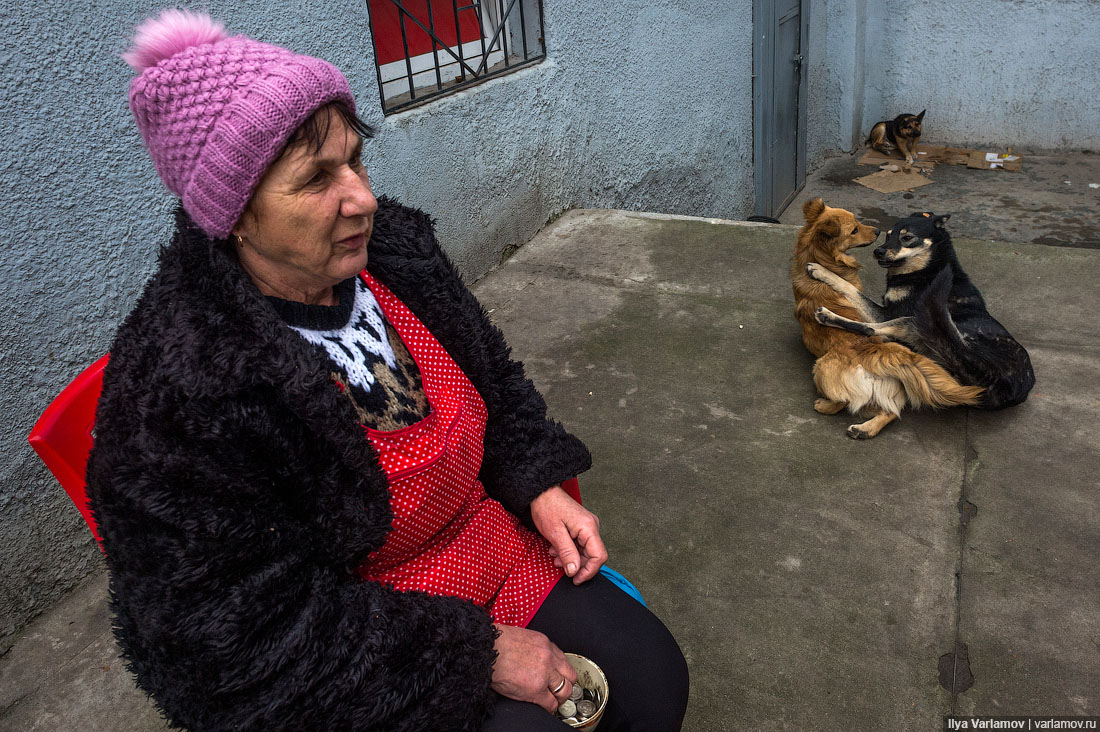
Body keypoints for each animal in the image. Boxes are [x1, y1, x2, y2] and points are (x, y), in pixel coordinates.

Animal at [792, 197, 981, 435]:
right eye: (855, 229)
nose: (877, 232)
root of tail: (878, 351)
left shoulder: (880, 312)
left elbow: (846, 287)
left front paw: (820, 271)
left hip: (822, 368)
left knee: (843, 400)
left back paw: (824, 405)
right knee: (890, 412)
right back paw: (863, 430)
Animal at [809, 210, 1029, 411]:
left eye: (907, 238)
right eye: (888, 235)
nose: (878, 251)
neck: (928, 268)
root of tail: (998, 382)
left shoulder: (887, 313)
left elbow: (850, 288)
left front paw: (821, 270)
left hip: (913, 321)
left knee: (870, 329)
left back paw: (827, 316)